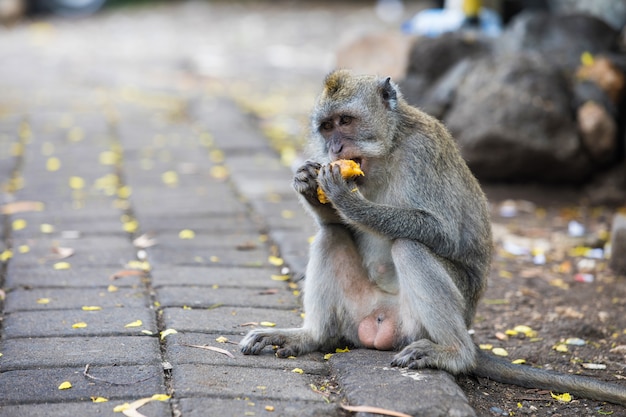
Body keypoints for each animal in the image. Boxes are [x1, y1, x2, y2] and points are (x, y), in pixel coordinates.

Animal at [238, 69, 624, 406]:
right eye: (326, 127)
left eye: (345, 121)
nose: (334, 149)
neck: (389, 148)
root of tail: (379, 322)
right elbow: (336, 224)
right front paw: (306, 181)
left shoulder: (422, 152)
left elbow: (444, 232)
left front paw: (348, 200)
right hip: (359, 311)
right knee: (330, 236)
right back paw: (313, 336)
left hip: (416, 324)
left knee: (409, 246)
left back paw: (455, 354)